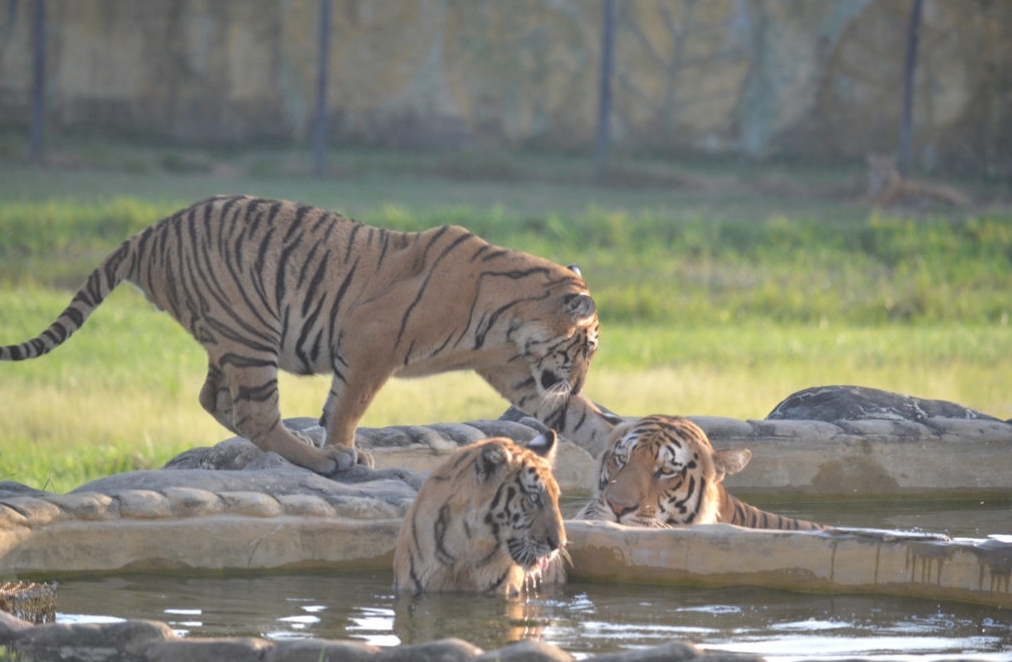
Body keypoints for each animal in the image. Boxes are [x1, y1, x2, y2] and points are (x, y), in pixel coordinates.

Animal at [0, 194, 615, 473]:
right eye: (585, 348)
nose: (584, 376)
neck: (510, 324)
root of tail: (150, 231)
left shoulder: (524, 377)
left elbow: (579, 418)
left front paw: (618, 451)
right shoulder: (371, 341)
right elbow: (348, 405)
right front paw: (344, 450)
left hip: (229, 335)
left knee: (214, 399)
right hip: (250, 332)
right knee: (252, 412)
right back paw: (320, 463)